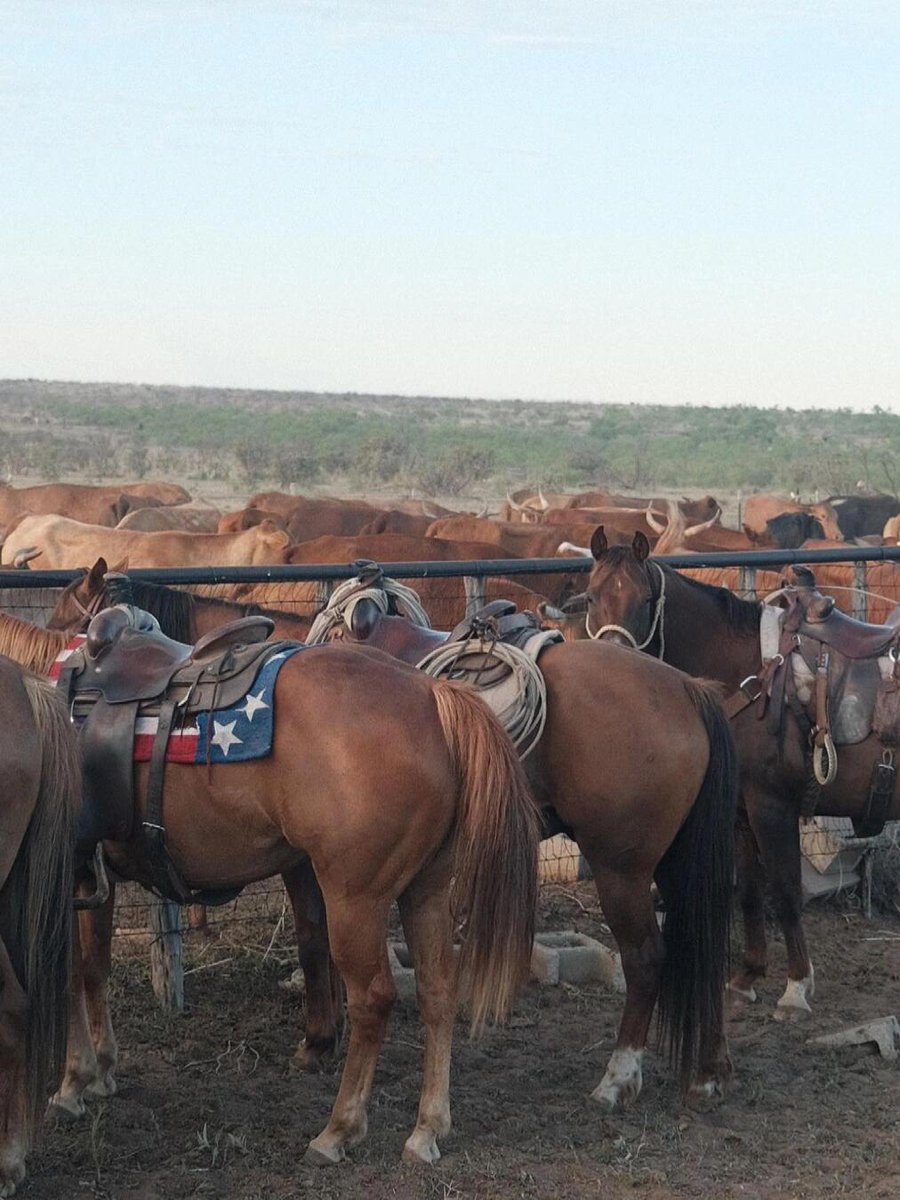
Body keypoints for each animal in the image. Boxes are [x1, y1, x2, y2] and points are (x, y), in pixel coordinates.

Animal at [0, 608, 539, 1166]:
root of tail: (432, 695)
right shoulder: (87, 874)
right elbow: (91, 970)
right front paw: (101, 1069)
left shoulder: (64, 874)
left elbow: (69, 972)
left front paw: (74, 1081)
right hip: (425, 893)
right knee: (437, 992)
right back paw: (427, 1128)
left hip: (355, 901)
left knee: (372, 1001)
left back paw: (338, 1130)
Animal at [290, 571, 739, 1111]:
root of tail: (689, 691)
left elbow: (313, 938)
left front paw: (319, 1038)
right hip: (676, 866)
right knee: (702, 950)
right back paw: (710, 1072)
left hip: (622, 871)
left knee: (647, 959)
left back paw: (617, 1077)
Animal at [565, 525, 900, 1021]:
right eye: (591, 596)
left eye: (645, 599)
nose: (617, 659)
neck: (751, 675)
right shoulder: (741, 810)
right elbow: (750, 891)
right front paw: (747, 979)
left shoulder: (771, 807)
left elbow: (785, 891)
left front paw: (796, 988)